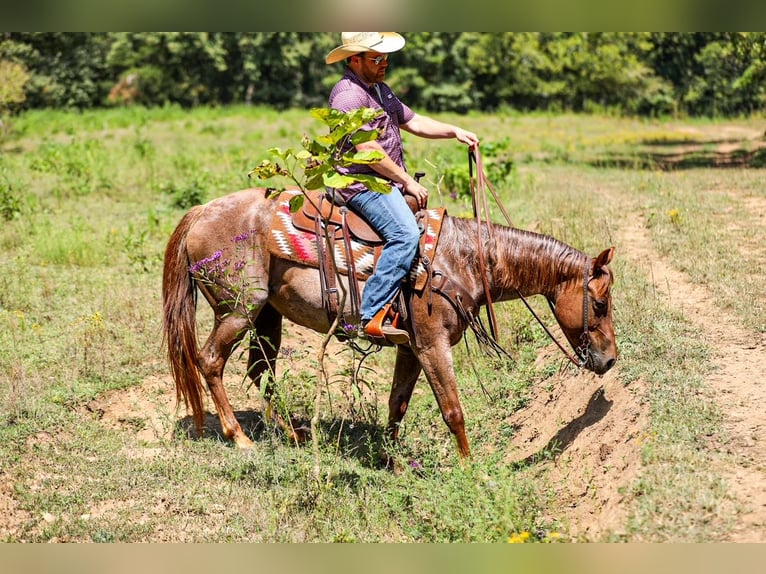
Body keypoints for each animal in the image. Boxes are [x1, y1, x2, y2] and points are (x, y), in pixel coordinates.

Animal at [162, 187, 617, 461]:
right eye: (599, 303)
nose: (610, 360)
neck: (463, 258)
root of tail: (201, 211)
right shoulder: (432, 344)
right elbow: (453, 410)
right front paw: (469, 469)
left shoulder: (410, 347)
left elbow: (397, 403)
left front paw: (392, 461)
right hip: (238, 309)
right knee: (211, 360)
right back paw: (239, 436)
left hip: (267, 315)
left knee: (261, 370)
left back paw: (292, 434)